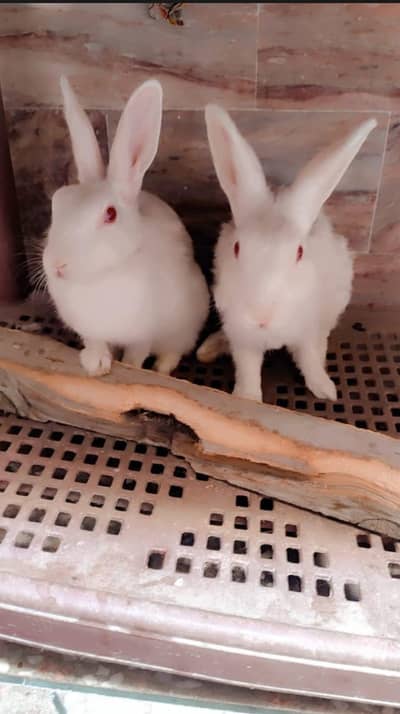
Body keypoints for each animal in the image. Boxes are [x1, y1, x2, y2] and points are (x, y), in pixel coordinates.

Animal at [42, 77, 210, 377]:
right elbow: (96, 343)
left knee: (175, 349)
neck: (101, 278)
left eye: (110, 214)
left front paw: (130, 367)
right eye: (57, 203)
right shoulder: (90, 330)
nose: (58, 266)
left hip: (188, 324)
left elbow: (137, 353)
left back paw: (162, 369)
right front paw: (95, 364)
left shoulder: (143, 335)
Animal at [196, 106, 377, 403]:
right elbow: (248, 369)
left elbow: (309, 360)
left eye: (299, 252)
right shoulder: (243, 337)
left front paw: (326, 390)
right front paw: (248, 398)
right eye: (236, 248)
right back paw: (209, 348)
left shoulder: (307, 331)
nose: (261, 315)